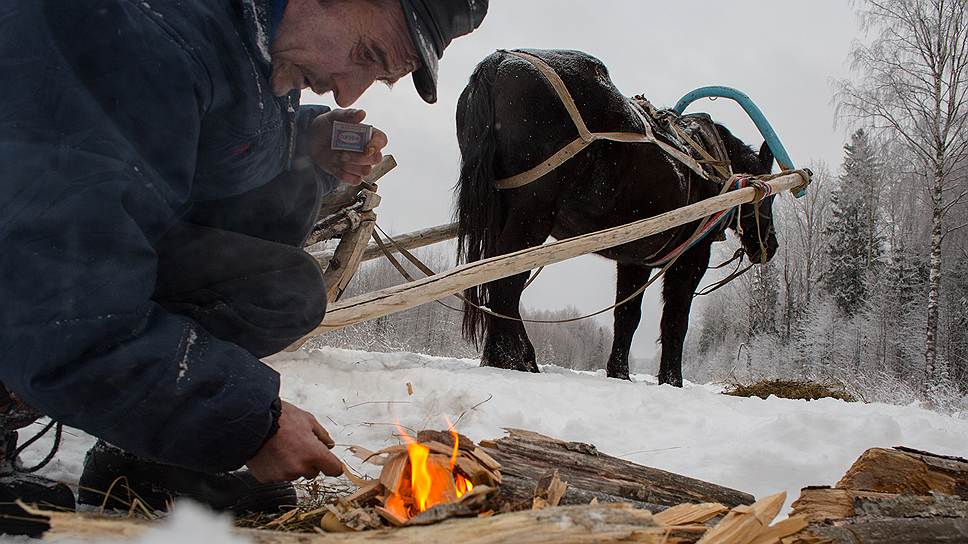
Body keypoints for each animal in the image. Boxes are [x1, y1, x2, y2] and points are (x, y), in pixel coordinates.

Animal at [452, 49, 780, 384]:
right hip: (532, 212)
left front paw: (619, 372)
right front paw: (671, 380)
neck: (711, 163)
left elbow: (627, 315)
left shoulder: (636, 258)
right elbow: (675, 321)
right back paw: (510, 358)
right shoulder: (690, 258)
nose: (770, 246)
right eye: (770, 196)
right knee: (504, 280)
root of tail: (500, 62)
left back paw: (512, 356)